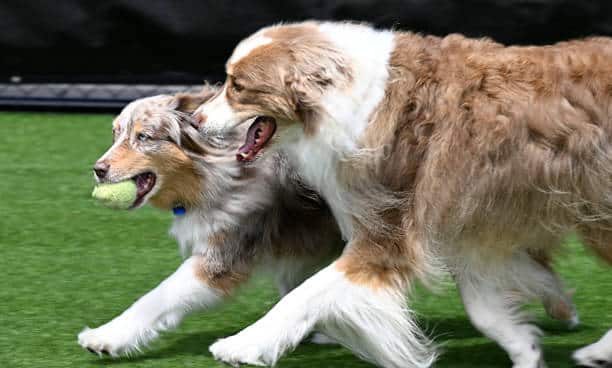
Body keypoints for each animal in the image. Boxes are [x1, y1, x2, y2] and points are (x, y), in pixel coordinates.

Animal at [76, 88, 344, 356]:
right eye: (115, 133)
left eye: (144, 136)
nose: (98, 169)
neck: (218, 171)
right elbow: (297, 286)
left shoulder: (223, 254)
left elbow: (158, 296)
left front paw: (106, 336)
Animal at [195, 21, 612, 366]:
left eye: (237, 86)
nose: (194, 121)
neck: (343, 100)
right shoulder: (463, 226)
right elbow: (484, 308)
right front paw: (527, 348)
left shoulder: (387, 235)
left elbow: (304, 295)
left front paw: (240, 345)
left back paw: (598, 352)